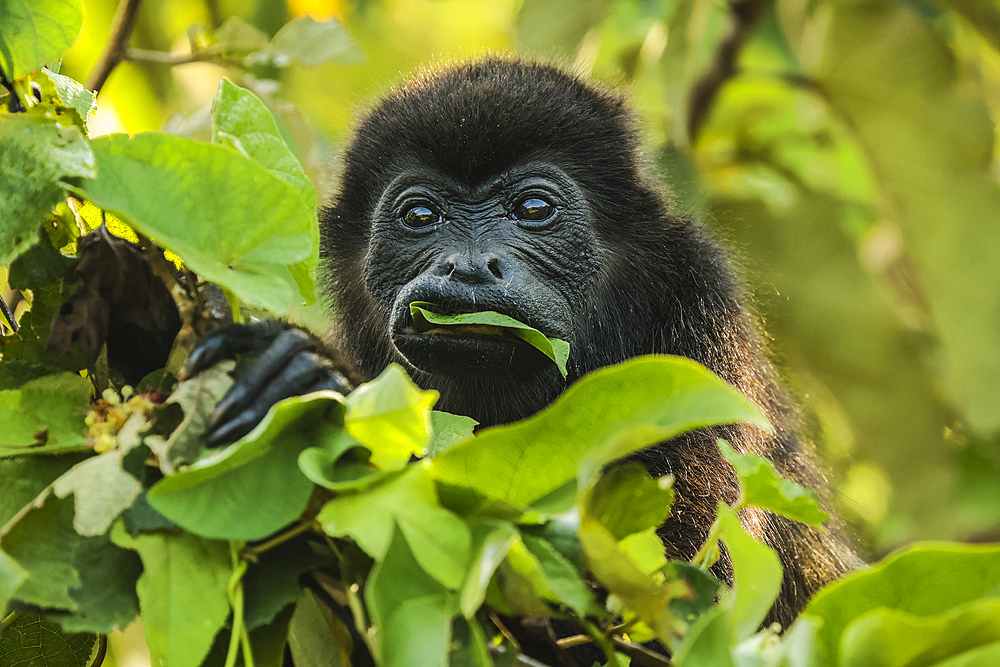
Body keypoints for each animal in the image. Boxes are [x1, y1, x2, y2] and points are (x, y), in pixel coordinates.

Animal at [188, 58, 860, 636]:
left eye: (533, 208)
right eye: (420, 216)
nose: (468, 266)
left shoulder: (704, 341)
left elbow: (674, 591)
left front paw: (309, 376)